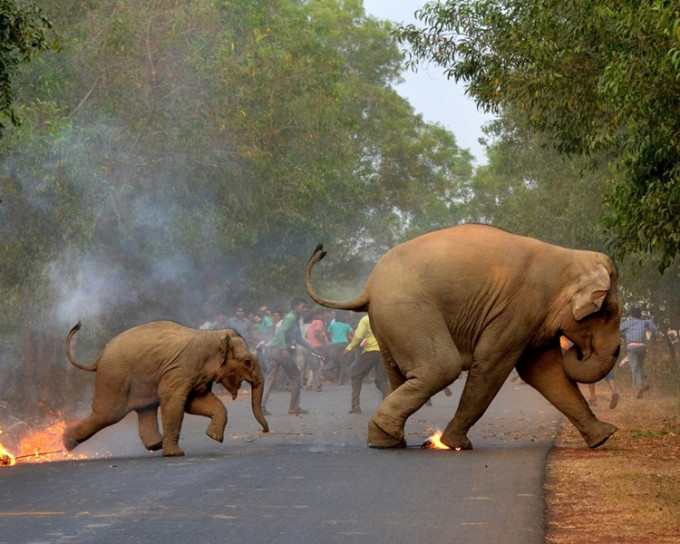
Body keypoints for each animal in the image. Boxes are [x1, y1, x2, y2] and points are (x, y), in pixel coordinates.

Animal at [61, 320, 268, 456]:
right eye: (247, 361)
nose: (265, 431)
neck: (212, 335)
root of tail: (101, 354)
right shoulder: (181, 369)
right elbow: (174, 401)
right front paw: (175, 454)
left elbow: (195, 402)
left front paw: (214, 437)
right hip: (114, 376)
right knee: (109, 413)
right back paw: (67, 443)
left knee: (145, 408)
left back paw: (155, 444)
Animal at [306, 225, 624, 450]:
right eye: (608, 312)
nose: (577, 350)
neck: (568, 256)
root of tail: (369, 286)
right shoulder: (518, 309)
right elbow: (492, 365)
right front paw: (455, 444)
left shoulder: (534, 317)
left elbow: (545, 372)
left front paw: (605, 436)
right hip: (407, 310)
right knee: (441, 367)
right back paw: (392, 438)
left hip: (388, 323)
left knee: (401, 374)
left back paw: (388, 440)